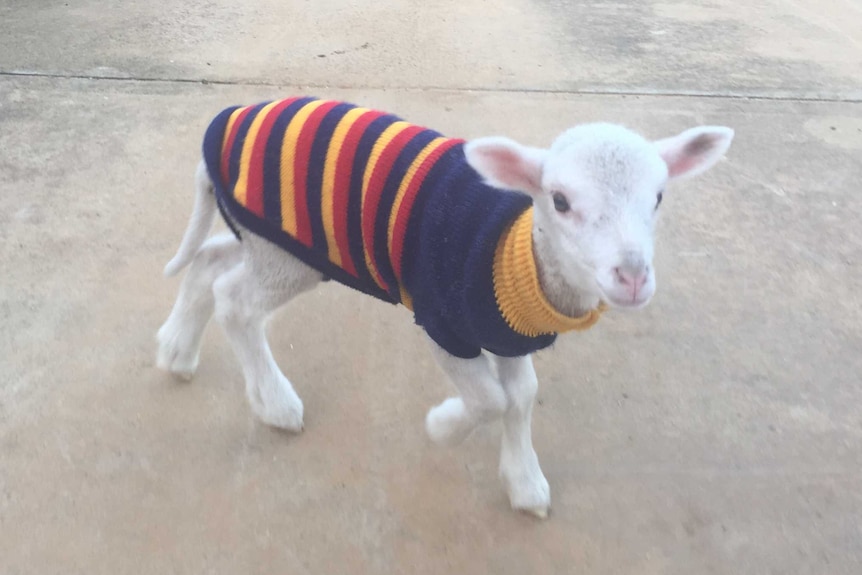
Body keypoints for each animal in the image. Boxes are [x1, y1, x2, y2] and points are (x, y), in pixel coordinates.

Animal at [157, 97, 736, 520]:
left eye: (658, 197)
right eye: (560, 201)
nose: (632, 277)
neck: (521, 254)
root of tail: (226, 122)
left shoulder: (509, 332)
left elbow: (522, 396)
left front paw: (525, 483)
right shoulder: (443, 322)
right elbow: (490, 400)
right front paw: (442, 427)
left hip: (267, 243)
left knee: (209, 264)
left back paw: (176, 353)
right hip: (286, 253)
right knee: (235, 302)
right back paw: (275, 404)